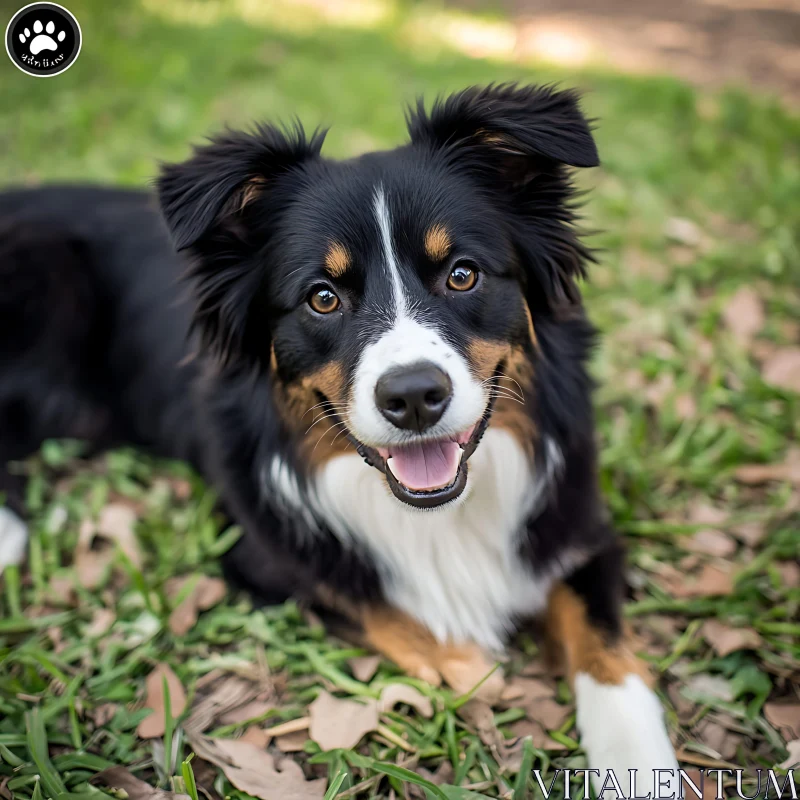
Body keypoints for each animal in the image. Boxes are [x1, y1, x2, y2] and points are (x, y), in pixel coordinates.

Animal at [0, 84, 680, 792]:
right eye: (322, 297)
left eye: (462, 275)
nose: (413, 396)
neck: (441, 512)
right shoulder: (258, 548)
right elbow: (366, 595)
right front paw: (470, 662)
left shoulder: (579, 528)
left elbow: (606, 648)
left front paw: (638, 763)